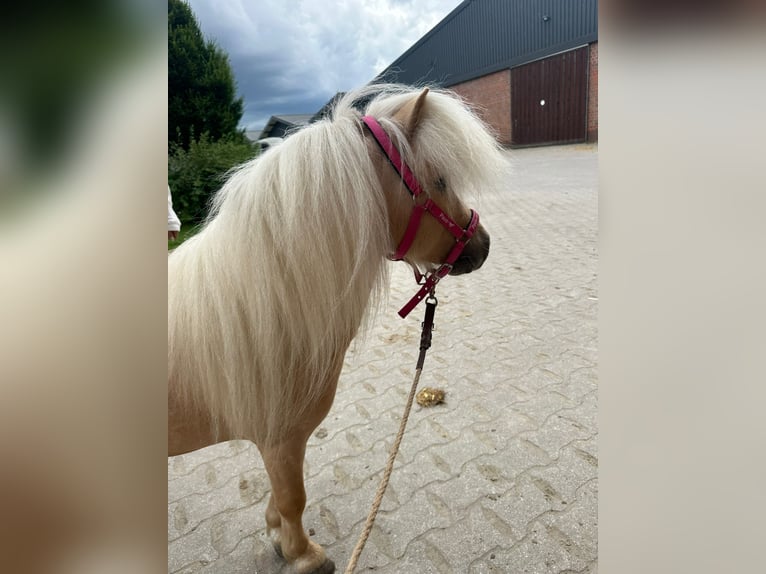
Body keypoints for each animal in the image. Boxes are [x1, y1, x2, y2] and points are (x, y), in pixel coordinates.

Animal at [170, 83, 510, 572]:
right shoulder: (280, 439)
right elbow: (293, 498)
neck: (265, 302)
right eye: (441, 181)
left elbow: (279, 498)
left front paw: (277, 536)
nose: (482, 245)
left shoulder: (279, 445)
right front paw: (304, 556)